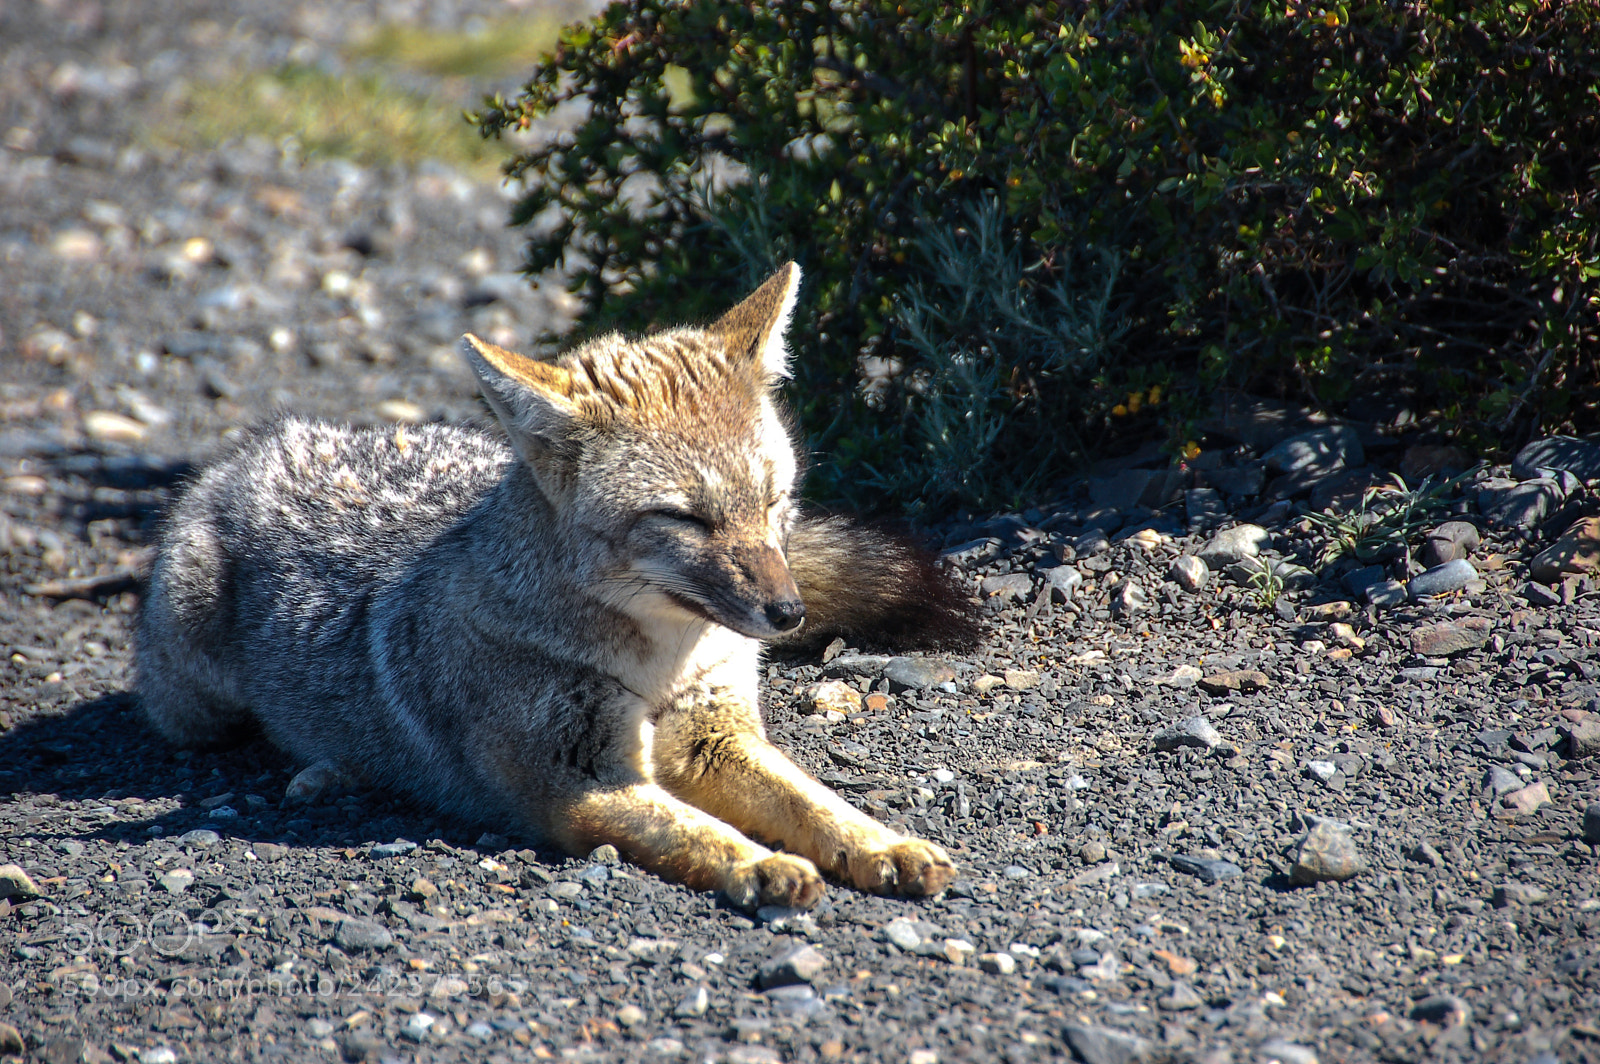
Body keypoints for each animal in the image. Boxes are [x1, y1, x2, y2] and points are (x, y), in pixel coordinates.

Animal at [135, 263, 979, 910]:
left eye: (774, 501)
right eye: (685, 518)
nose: (787, 612)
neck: (660, 660)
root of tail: (257, 447)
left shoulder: (716, 738)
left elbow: (812, 799)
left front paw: (878, 842)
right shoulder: (573, 783)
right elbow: (697, 831)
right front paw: (761, 863)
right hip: (197, 704)